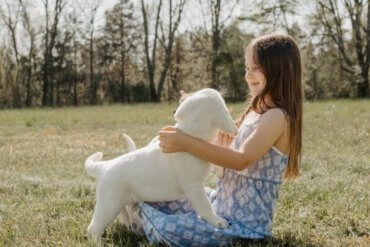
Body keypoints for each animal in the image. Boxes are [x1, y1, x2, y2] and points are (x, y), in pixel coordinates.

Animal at [84, 88, 237, 238]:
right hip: (109, 205)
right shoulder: (194, 188)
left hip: (117, 204)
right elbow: (205, 206)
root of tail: (104, 167)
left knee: (122, 217)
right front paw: (217, 221)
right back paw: (97, 240)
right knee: (93, 228)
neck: (192, 134)